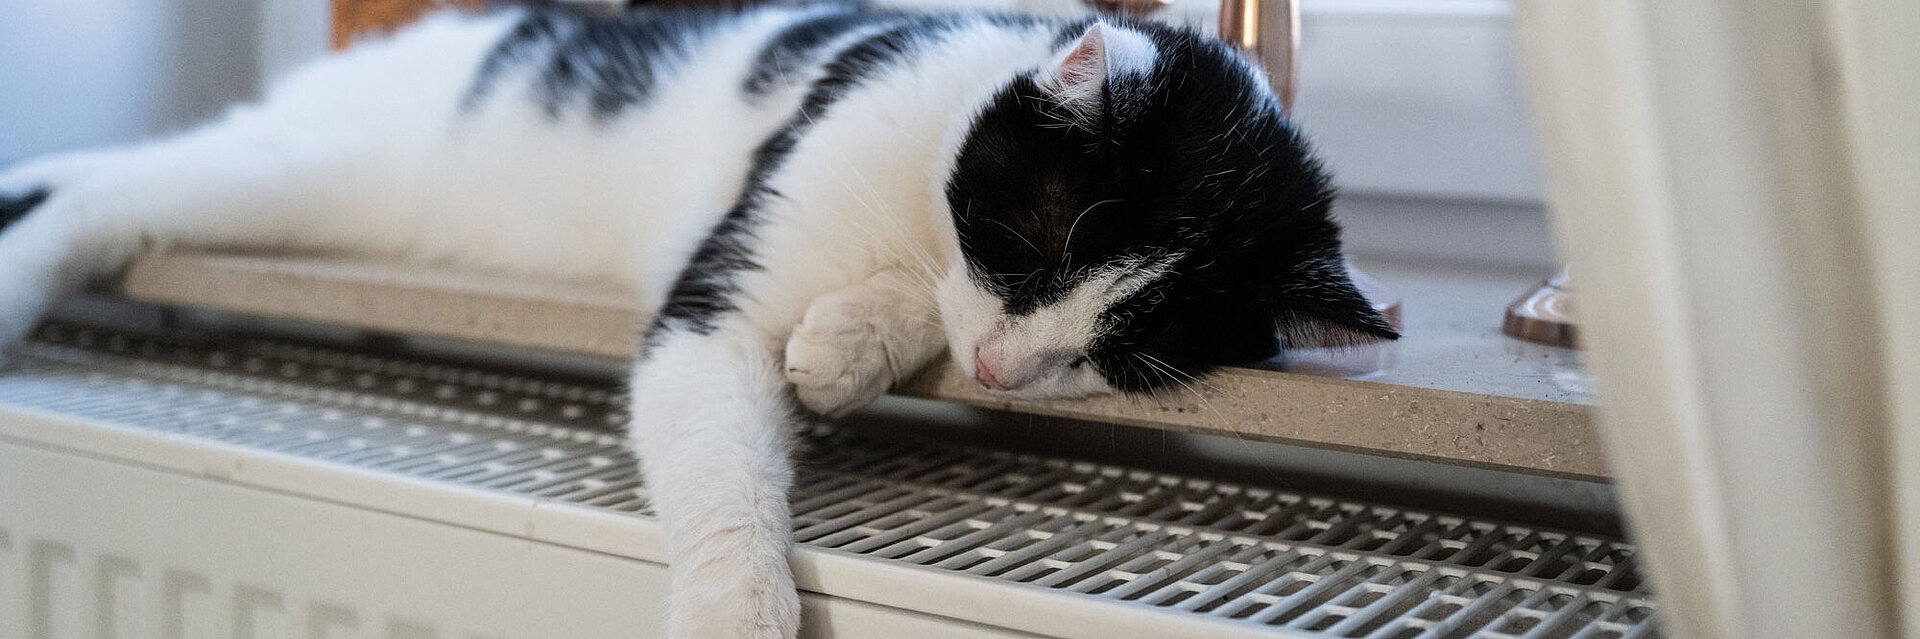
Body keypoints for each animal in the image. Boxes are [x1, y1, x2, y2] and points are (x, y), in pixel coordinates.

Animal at [0, 6, 1397, 637]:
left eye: (1122, 354)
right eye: (1034, 247)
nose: (1008, 369)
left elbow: (898, 308)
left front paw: (844, 347)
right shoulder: (718, 300)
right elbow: (723, 463)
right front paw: (737, 605)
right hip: (314, 171)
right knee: (110, 192)